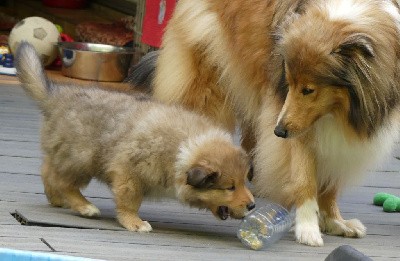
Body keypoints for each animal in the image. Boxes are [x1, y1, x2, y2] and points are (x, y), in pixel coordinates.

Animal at [15, 42, 255, 232]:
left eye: (244, 182)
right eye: (229, 188)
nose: (252, 205)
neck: (184, 147)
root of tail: (55, 97)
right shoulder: (129, 174)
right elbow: (130, 202)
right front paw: (134, 222)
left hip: (65, 153)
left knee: (47, 170)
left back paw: (57, 199)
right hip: (81, 157)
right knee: (63, 181)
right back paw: (85, 207)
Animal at [128, 0, 400, 245]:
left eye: (309, 89)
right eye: (289, 83)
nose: (278, 131)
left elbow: (330, 183)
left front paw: (335, 221)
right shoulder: (294, 120)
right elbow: (304, 178)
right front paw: (308, 228)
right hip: (208, 79)